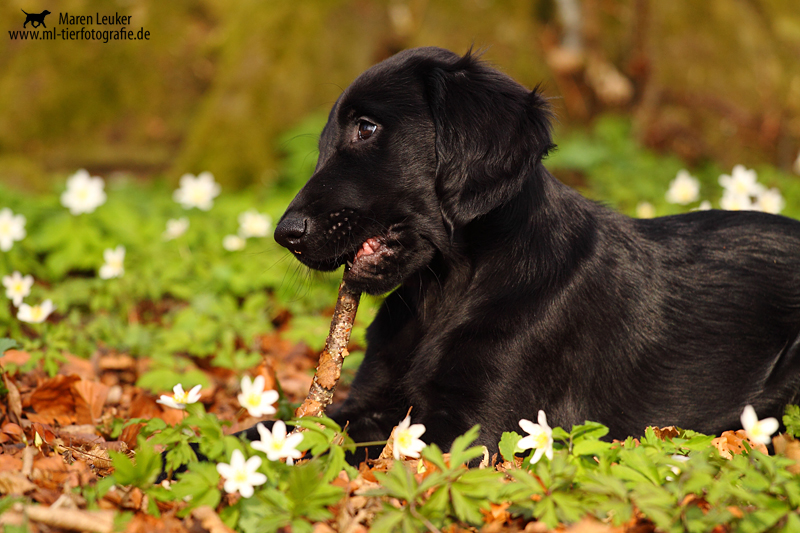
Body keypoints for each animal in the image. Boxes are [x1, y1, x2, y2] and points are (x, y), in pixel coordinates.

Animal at [268, 47, 800, 460]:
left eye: (367, 128)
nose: (284, 233)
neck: (443, 293)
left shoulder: (474, 427)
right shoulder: (370, 400)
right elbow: (292, 430)